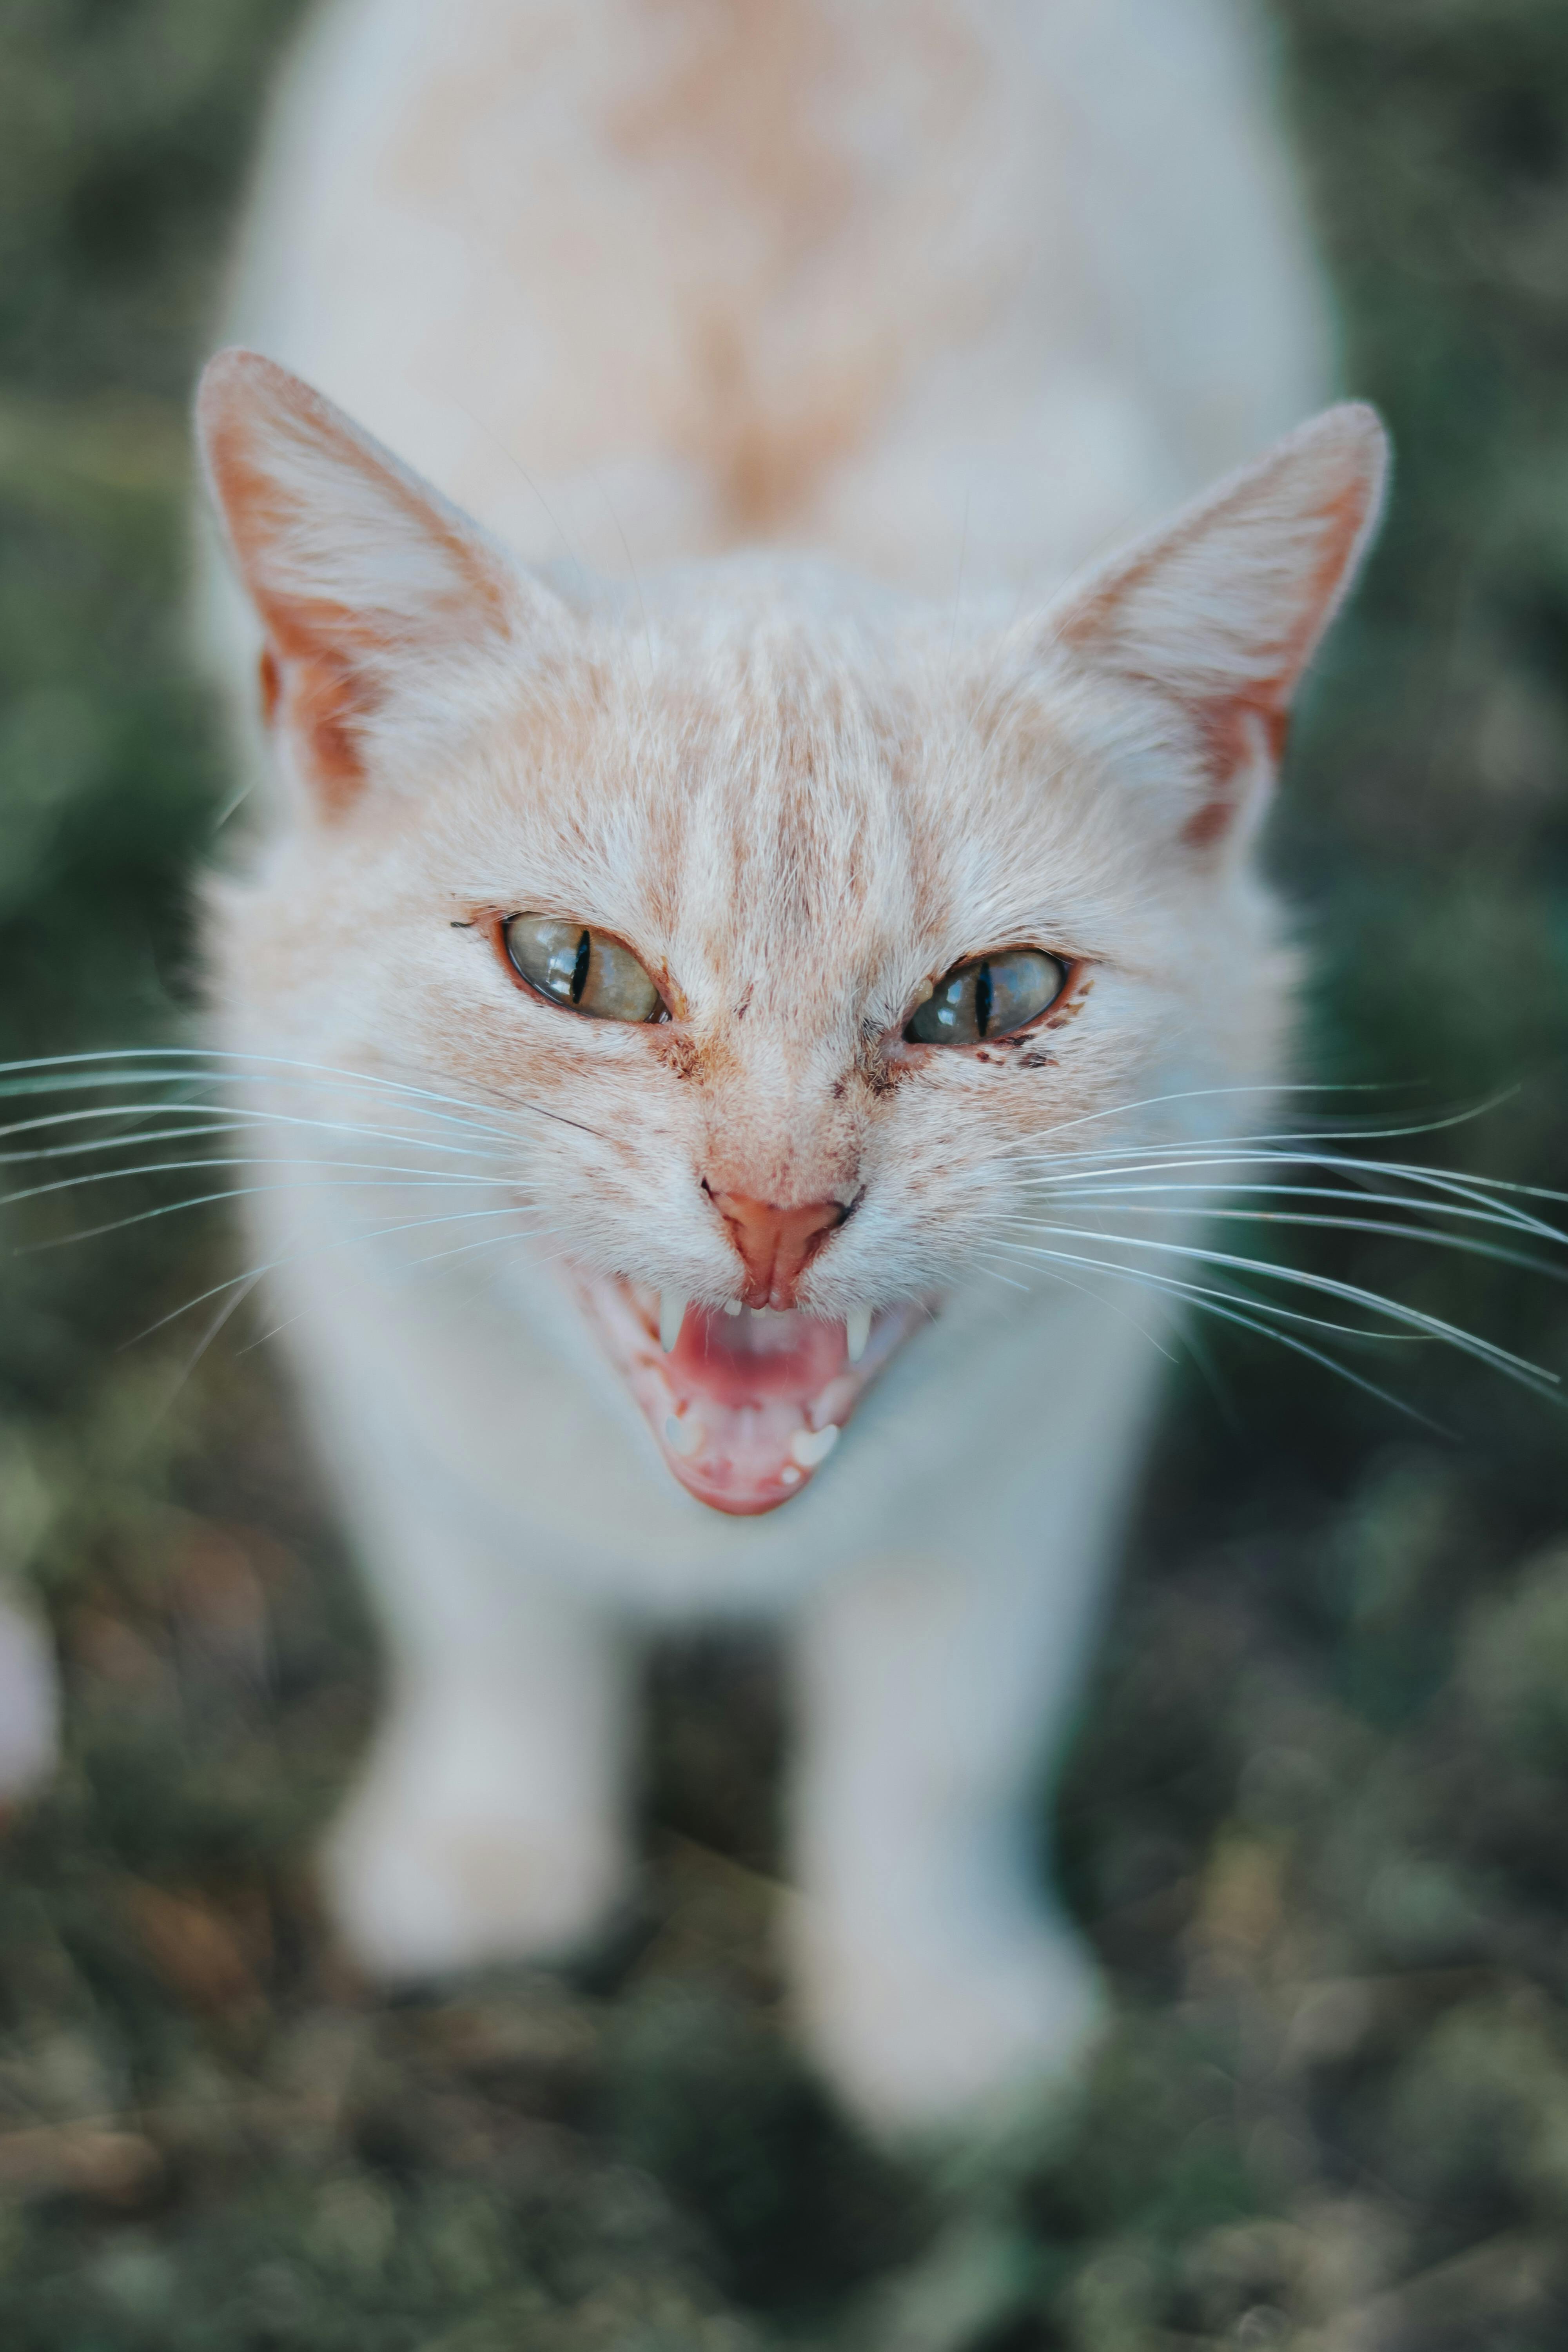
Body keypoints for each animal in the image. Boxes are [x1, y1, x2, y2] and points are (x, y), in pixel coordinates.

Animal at [196, 0, 1382, 2136]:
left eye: (992, 1001)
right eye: (571, 968)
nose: (770, 1214)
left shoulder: (1046, 1438)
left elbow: (936, 1732)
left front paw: (934, 2012)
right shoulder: (371, 1315)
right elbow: (487, 1615)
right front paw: (493, 1848)